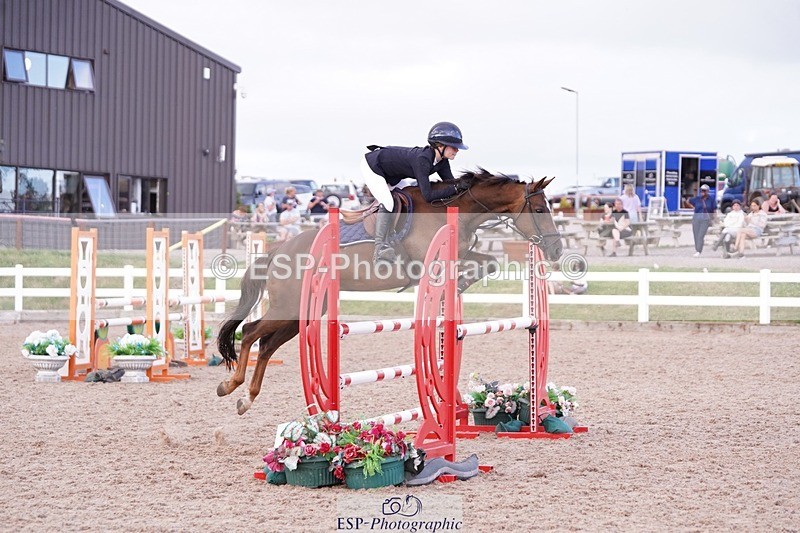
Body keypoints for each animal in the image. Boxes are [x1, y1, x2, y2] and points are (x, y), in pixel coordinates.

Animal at [216, 169, 563, 415]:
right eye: (540, 209)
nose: (557, 249)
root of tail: (278, 250)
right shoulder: (427, 262)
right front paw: (456, 287)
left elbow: (488, 263)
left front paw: (459, 287)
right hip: (288, 307)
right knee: (250, 332)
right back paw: (230, 385)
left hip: (304, 312)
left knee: (267, 345)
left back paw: (246, 399)